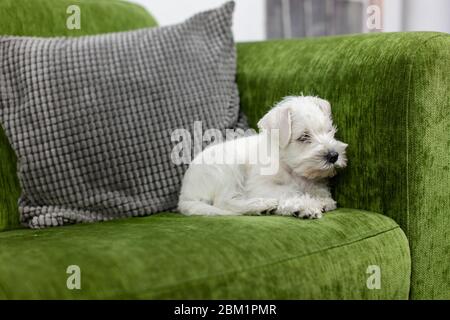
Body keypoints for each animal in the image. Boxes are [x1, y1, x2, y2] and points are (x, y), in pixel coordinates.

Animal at [178, 96, 346, 219]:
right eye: (304, 137)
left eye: (329, 131)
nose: (333, 156)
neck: (286, 163)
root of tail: (185, 194)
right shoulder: (259, 185)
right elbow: (290, 190)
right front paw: (306, 205)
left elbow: (318, 190)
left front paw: (322, 200)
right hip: (227, 170)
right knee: (224, 202)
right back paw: (262, 206)